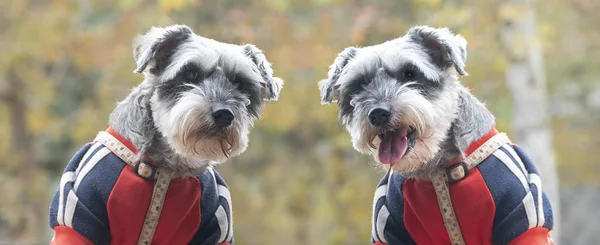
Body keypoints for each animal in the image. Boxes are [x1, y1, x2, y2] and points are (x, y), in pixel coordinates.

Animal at [48, 23, 282, 245]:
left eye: (241, 84)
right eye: (190, 74)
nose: (224, 114)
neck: (168, 168)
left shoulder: (216, 227)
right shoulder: (79, 218)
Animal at [322, 25, 556, 244]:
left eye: (410, 73)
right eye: (359, 84)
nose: (378, 113)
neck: (436, 170)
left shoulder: (523, 219)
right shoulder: (387, 227)